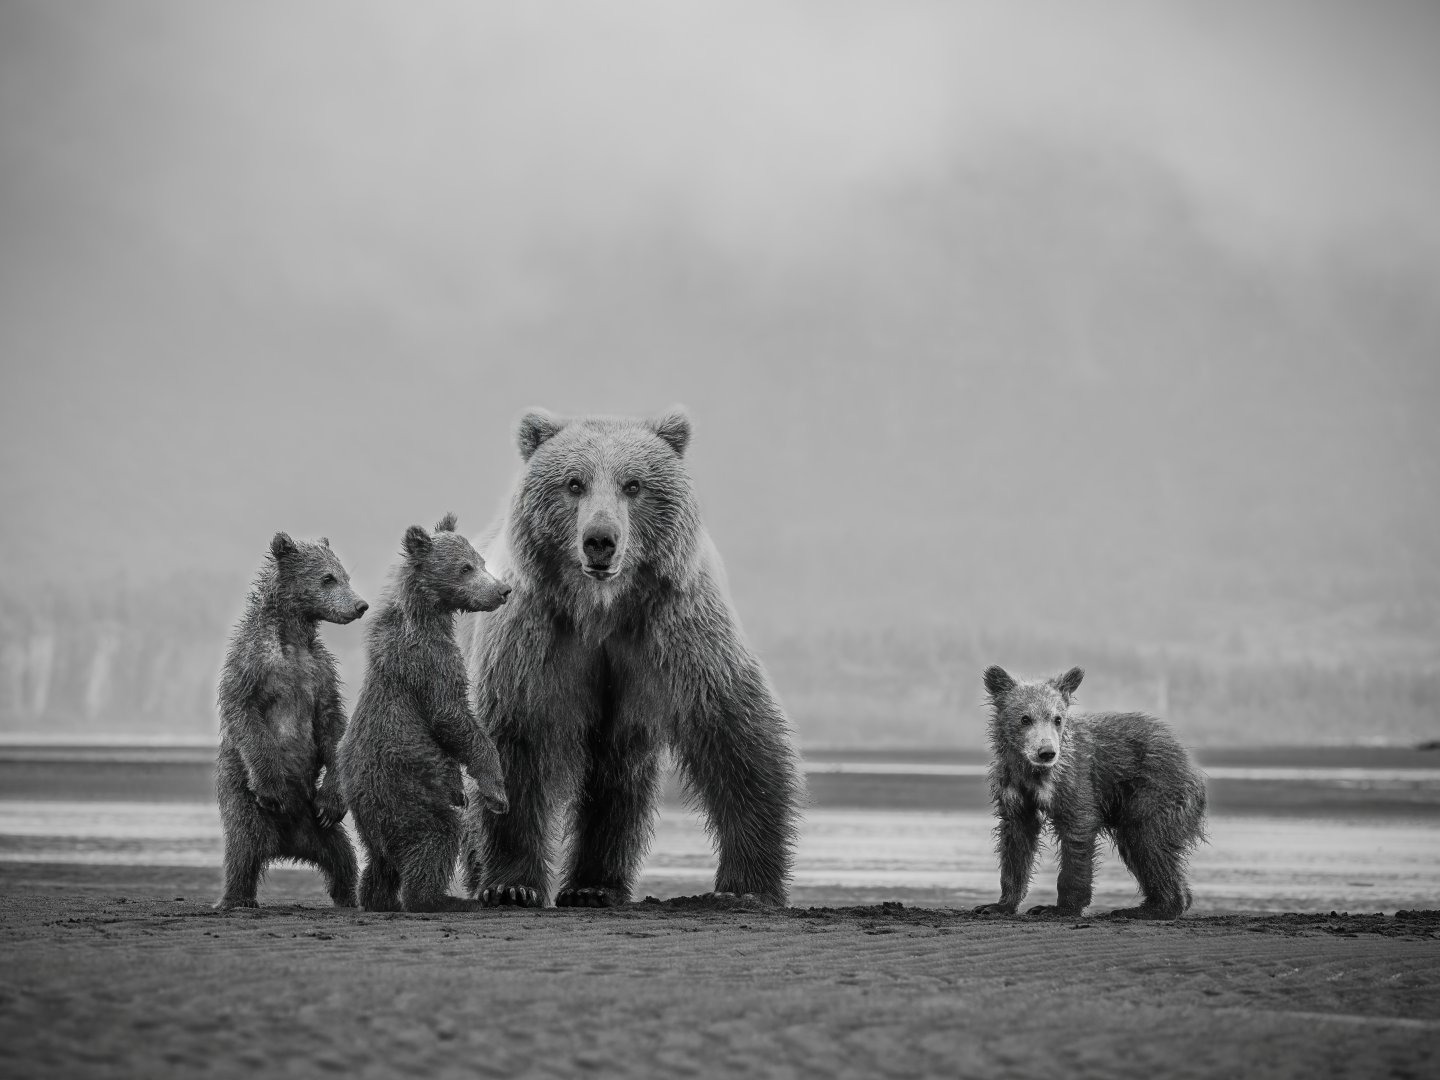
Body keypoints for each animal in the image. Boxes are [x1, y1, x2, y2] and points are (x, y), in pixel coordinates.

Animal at [215, 532, 368, 911]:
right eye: (328, 578)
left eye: (346, 576)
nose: (360, 605)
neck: (292, 638)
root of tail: (285, 844)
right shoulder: (252, 663)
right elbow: (244, 713)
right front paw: (273, 787)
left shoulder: (320, 671)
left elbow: (331, 725)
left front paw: (333, 799)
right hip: (241, 795)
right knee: (243, 845)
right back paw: (236, 898)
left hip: (316, 826)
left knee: (342, 855)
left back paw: (349, 896)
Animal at [338, 514, 513, 913]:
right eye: (465, 567)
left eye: (481, 560)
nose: (503, 590)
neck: (429, 615)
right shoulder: (430, 661)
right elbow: (453, 718)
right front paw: (496, 792)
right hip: (405, 789)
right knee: (437, 834)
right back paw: (442, 899)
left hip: (371, 813)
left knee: (381, 862)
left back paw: (377, 899)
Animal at [456, 408, 803, 909]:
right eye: (574, 483)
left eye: (633, 484)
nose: (600, 540)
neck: (603, 610)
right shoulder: (535, 637)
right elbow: (515, 740)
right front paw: (511, 884)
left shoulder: (677, 628)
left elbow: (734, 734)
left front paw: (747, 884)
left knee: (619, 778)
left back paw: (595, 885)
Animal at [973, 666, 1207, 919]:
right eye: (1025, 718)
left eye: (1057, 718)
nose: (1046, 752)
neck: (1033, 771)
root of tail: (1187, 758)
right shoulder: (1013, 787)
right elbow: (1017, 839)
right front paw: (998, 905)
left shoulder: (1074, 778)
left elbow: (1078, 829)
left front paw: (1059, 907)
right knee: (1139, 846)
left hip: (1154, 790)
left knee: (1148, 839)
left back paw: (1145, 908)